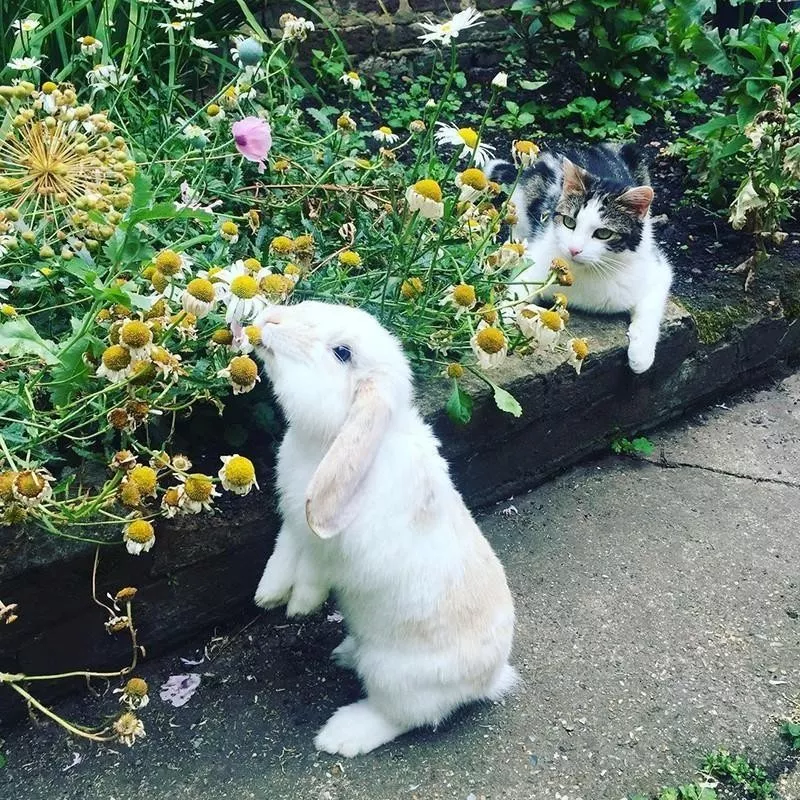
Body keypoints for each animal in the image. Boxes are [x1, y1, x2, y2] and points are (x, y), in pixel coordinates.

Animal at [255, 300, 520, 756]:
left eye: (342, 352)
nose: (268, 320)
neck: (326, 440)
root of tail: (487, 681)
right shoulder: (293, 521)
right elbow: (284, 551)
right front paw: (268, 595)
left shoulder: (336, 550)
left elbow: (314, 569)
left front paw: (300, 605)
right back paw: (345, 654)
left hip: (393, 678)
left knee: (406, 717)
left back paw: (344, 733)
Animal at [488, 145, 668, 376]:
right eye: (569, 222)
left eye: (603, 233)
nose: (574, 249)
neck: (590, 271)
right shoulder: (535, 263)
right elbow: (517, 292)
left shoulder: (657, 270)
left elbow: (651, 309)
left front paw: (641, 356)